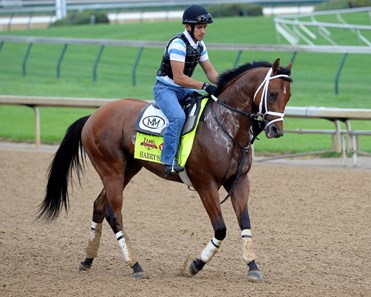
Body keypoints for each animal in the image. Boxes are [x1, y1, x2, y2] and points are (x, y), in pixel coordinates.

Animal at [37, 57, 294, 280]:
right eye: (272, 94)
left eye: (288, 96)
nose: (276, 130)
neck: (225, 126)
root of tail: (94, 115)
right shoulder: (205, 184)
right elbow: (221, 229)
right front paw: (195, 265)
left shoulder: (239, 182)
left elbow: (245, 223)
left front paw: (253, 266)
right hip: (111, 170)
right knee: (114, 213)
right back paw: (135, 265)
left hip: (128, 169)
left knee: (99, 206)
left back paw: (88, 260)